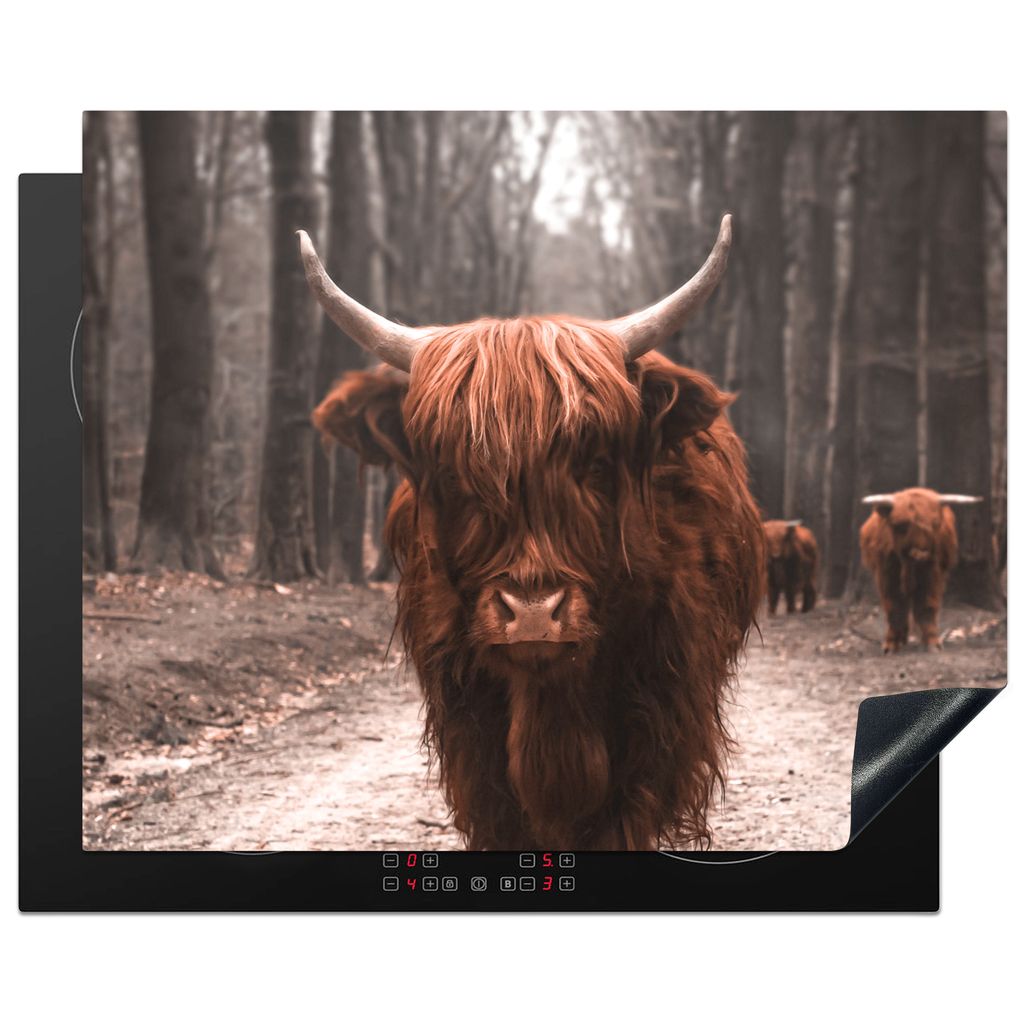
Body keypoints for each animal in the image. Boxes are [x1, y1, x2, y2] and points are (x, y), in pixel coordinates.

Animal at [299, 215, 765, 851]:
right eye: (453, 472)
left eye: (594, 463)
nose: (535, 613)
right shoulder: (469, 723)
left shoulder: (662, 706)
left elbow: (618, 818)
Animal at [859, 488, 982, 653]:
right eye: (900, 525)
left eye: (935, 524)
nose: (921, 553)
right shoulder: (887, 575)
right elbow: (894, 607)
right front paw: (891, 644)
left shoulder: (932, 575)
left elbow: (927, 606)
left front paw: (932, 643)